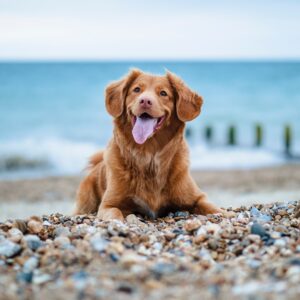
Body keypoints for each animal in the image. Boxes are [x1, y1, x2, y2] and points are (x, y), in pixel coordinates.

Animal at [75, 69, 223, 220]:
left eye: (163, 93)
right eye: (136, 89)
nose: (145, 101)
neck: (148, 155)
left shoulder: (197, 197)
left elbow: (214, 209)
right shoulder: (108, 204)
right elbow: (115, 213)